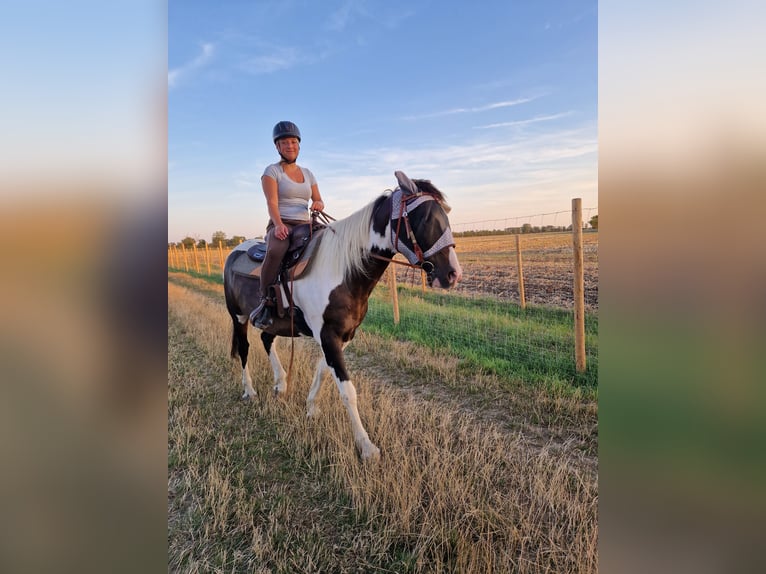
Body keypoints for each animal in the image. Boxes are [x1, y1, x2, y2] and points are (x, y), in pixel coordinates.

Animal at [222, 170, 462, 460]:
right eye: (425, 217)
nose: (452, 274)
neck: (343, 271)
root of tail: (235, 251)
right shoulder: (328, 336)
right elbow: (348, 390)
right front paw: (366, 446)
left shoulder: (343, 335)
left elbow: (323, 371)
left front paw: (311, 407)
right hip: (238, 317)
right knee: (244, 348)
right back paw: (249, 390)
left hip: (275, 323)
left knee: (267, 340)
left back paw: (281, 384)